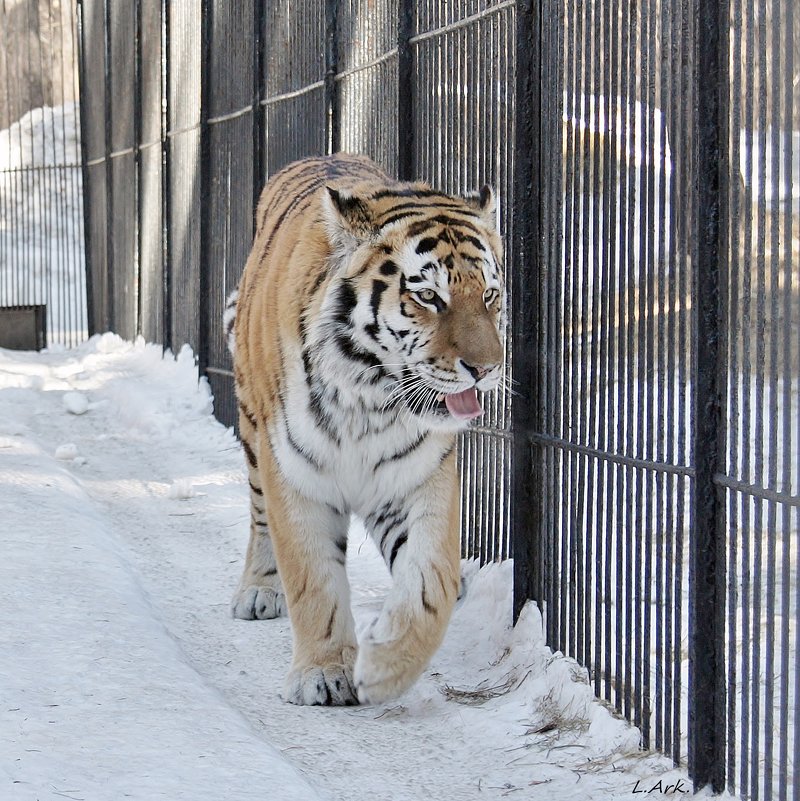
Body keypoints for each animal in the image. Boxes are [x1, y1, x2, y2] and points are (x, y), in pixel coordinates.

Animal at [225, 153, 504, 704]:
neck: (370, 397)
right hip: (251, 430)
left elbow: (430, 583)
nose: (486, 369)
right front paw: (324, 673)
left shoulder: (417, 478)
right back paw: (259, 590)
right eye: (429, 297)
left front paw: (384, 668)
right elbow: (313, 579)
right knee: (260, 517)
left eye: (488, 294)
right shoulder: (295, 475)